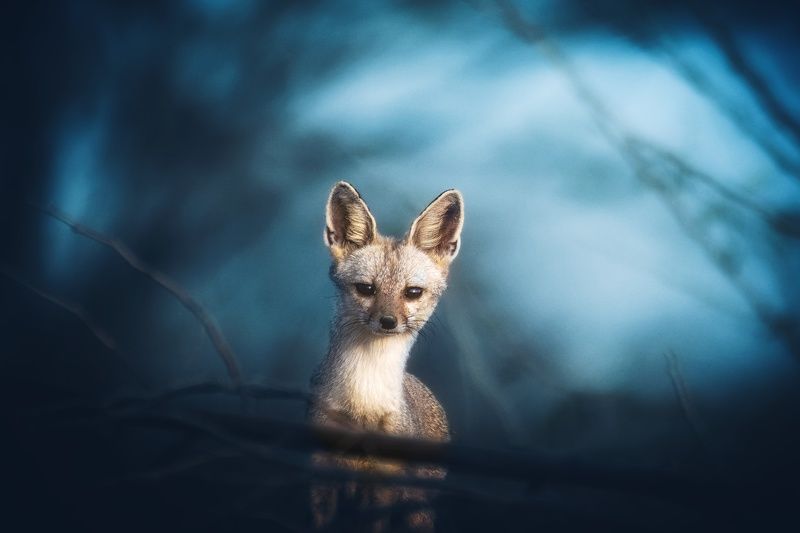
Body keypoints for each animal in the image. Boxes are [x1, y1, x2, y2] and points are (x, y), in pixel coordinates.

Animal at [309, 181, 464, 532]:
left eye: (412, 293)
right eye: (366, 289)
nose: (388, 321)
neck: (364, 400)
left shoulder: (384, 485)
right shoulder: (320, 473)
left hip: (418, 505)